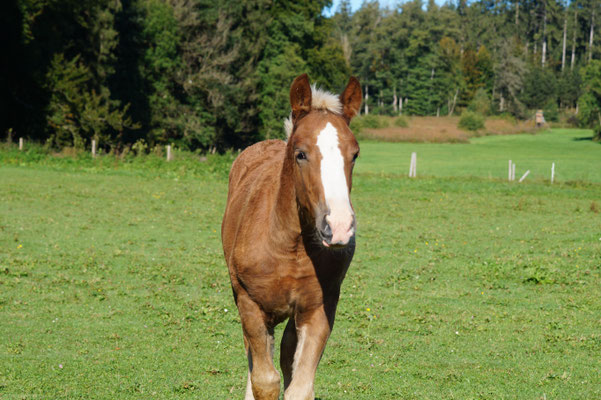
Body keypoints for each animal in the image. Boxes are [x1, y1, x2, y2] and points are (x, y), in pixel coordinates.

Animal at [220, 73, 360, 398]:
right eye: (301, 154)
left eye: (355, 154)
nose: (339, 226)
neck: (290, 246)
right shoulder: (250, 303)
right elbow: (264, 379)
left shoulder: (320, 307)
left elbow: (299, 385)